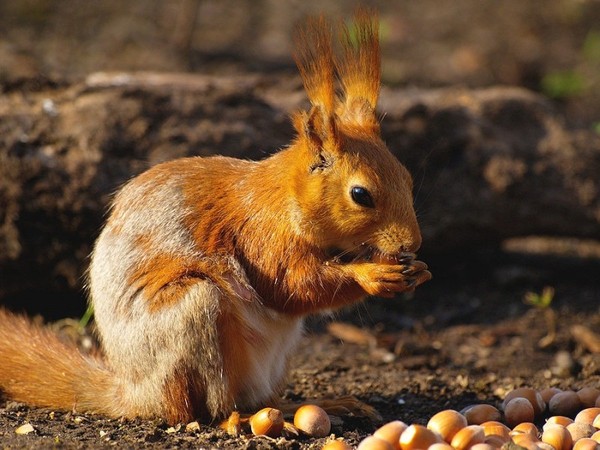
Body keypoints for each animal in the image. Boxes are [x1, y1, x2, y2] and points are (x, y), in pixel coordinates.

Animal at [0, 10, 432, 426]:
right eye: (361, 195)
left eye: (408, 178)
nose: (411, 243)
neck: (284, 198)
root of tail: (138, 394)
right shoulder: (260, 236)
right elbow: (291, 286)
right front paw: (373, 275)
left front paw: (417, 270)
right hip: (194, 316)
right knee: (212, 408)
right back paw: (247, 418)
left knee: (260, 397)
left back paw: (313, 403)